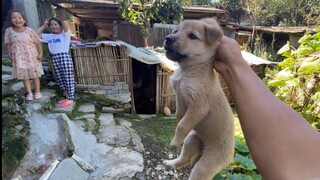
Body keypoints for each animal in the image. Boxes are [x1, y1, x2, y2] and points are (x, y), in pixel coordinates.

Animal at [162, 17, 235, 179]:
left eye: (192, 36)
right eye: (175, 31)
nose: (168, 38)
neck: (187, 70)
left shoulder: (198, 106)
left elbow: (182, 125)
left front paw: (175, 141)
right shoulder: (179, 98)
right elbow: (179, 118)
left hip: (204, 166)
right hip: (191, 140)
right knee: (183, 159)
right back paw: (170, 163)